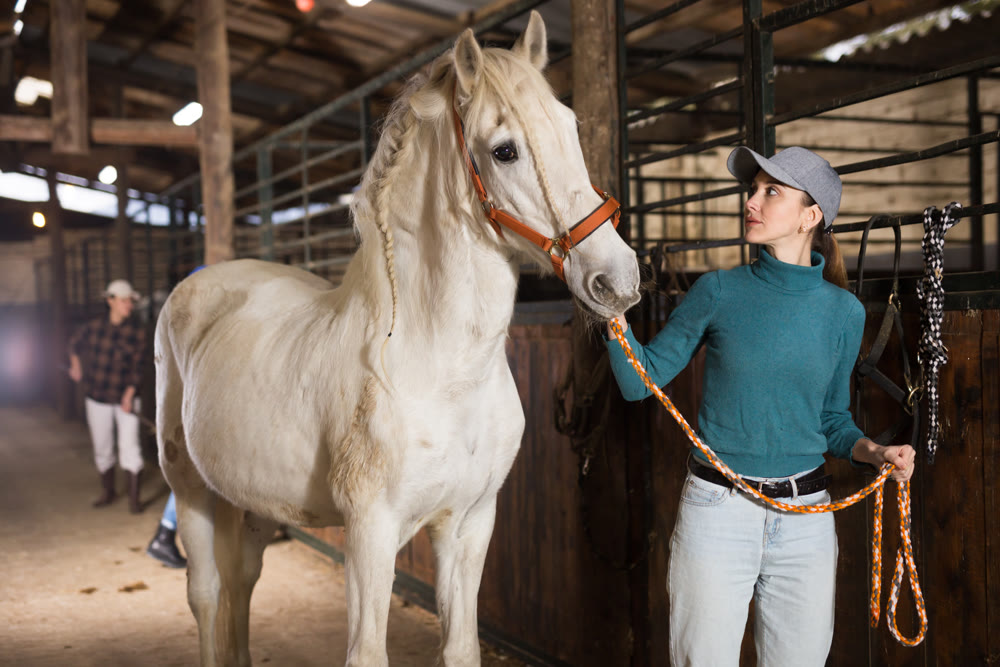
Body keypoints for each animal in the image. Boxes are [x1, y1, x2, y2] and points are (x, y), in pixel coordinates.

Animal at [154, 12, 640, 666]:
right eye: (505, 151)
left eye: (569, 127)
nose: (618, 278)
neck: (441, 372)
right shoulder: (370, 534)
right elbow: (366, 651)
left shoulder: (468, 523)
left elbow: (460, 648)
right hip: (191, 490)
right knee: (207, 595)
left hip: (251, 500)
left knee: (242, 583)